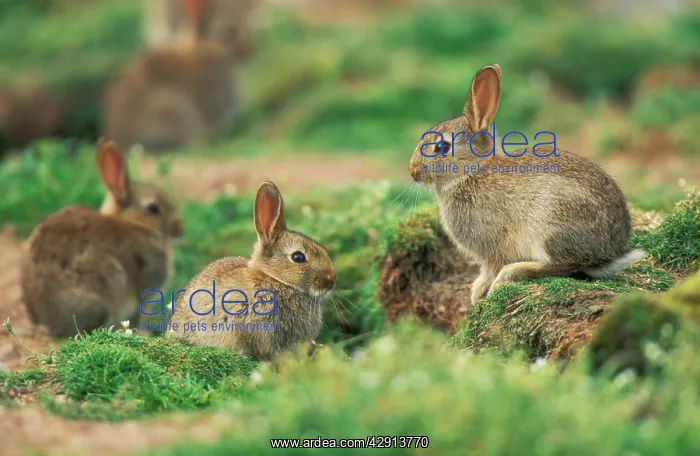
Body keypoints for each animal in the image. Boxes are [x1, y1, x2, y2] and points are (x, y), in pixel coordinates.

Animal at [20, 138, 184, 338]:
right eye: (153, 208)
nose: (180, 229)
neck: (133, 222)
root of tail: (47, 323)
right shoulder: (142, 290)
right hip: (105, 282)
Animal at [408, 64, 646, 305]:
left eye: (440, 147)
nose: (413, 171)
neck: (471, 172)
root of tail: (608, 252)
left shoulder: (492, 249)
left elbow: (489, 270)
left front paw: (478, 294)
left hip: (548, 221)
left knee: (565, 263)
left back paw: (512, 272)